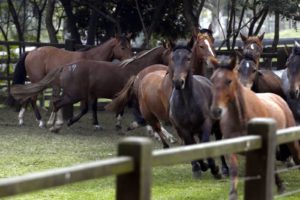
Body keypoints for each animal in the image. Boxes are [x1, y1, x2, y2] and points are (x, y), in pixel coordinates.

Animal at [11, 45, 171, 133]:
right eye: (171, 53)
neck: (137, 68)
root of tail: (66, 67)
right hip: (72, 94)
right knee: (49, 101)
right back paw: (49, 123)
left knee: (44, 100)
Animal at [209, 56, 300, 200]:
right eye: (212, 80)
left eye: (229, 80)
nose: (216, 110)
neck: (242, 118)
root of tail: (279, 98)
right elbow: (234, 170)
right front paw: (233, 194)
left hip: (291, 142)